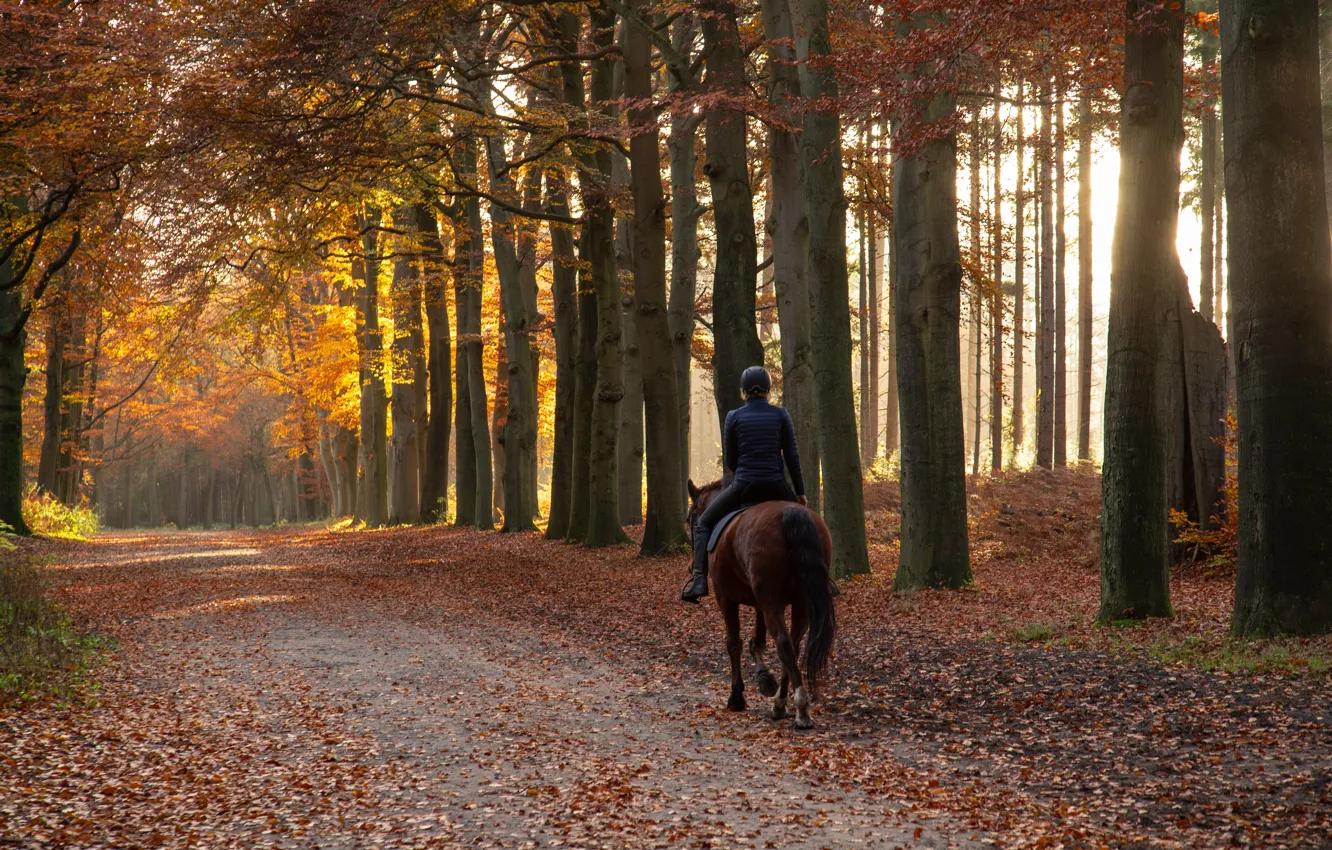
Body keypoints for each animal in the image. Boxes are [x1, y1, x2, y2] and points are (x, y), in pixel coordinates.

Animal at [686, 479, 837, 729]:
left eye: (691, 517)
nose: (691, 567)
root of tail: (790, 513)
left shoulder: (726, 599)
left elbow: (734, 643)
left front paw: (737, 697)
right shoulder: (760, 603)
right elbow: (756, 641)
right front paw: (764, 678)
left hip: (770, 600)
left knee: (784, 643)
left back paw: (799, 708)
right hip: (799, 601)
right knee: (793, 645)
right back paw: (782, 703)